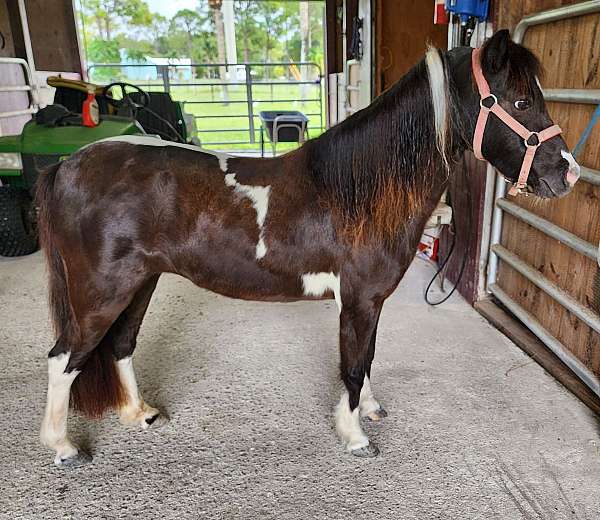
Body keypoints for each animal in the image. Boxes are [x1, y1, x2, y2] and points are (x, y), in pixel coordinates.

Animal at [38, 30, 580, 466]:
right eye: (520, 102)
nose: (568, 174)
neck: (359, 189)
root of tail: (67, 166)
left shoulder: (370, 302)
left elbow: (368, 358)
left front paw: (369, 411)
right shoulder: (357, 300)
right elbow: (354, 366)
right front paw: (355, 436)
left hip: (141, 283)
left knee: (121, 346)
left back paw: (139, 415)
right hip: (101, 293)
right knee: (65, 357)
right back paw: (63, 448)